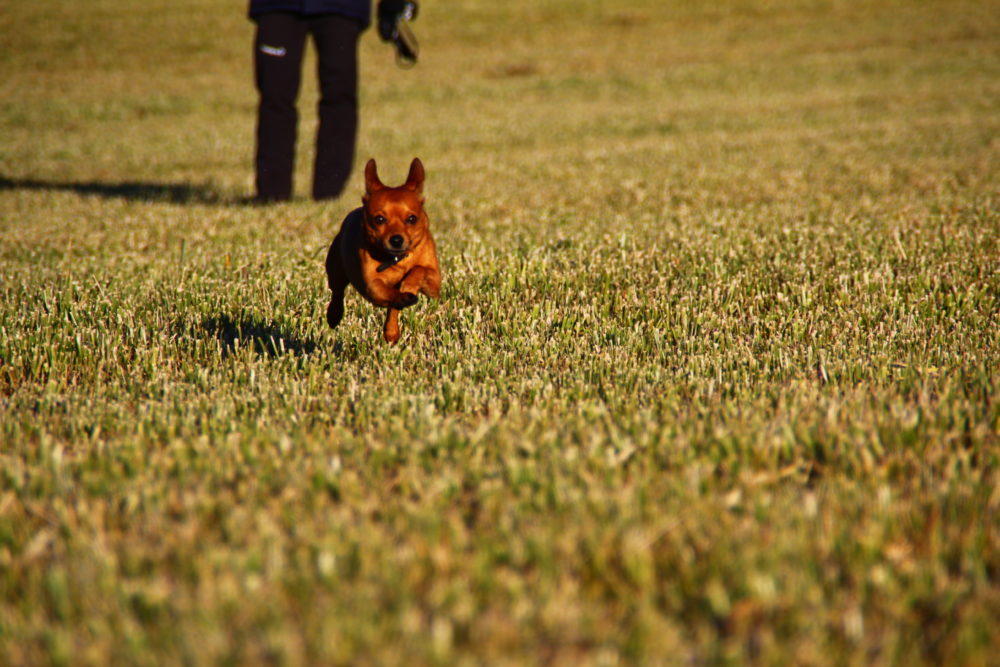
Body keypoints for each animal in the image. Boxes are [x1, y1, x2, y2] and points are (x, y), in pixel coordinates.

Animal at [324, 157, 442, 344]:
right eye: (379, 219)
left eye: (412, 219)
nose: (396, 240)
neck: (397, 260)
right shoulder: (373, 287)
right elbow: (390, 294)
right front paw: (402, 295)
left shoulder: (434, 284)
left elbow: (418, 269)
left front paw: (408, 284)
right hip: (335, 271)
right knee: (337, 293)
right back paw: (334, 315)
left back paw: (391, 331)